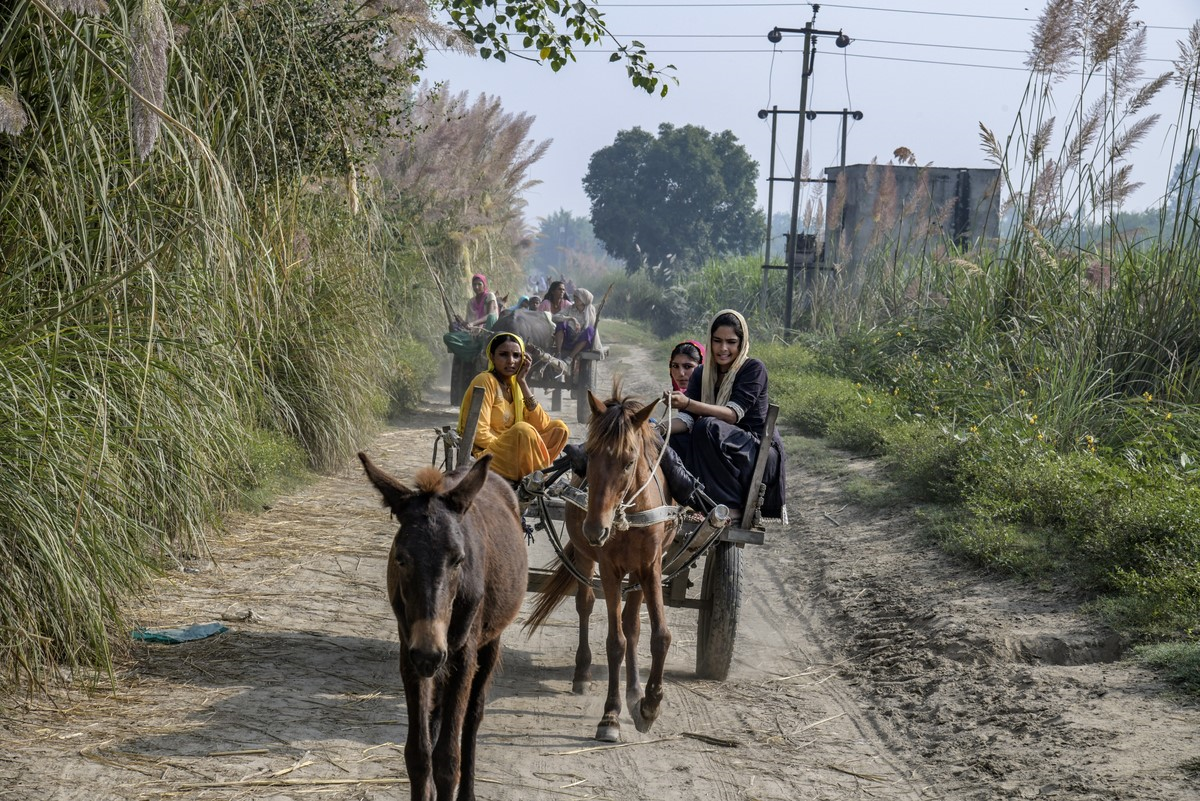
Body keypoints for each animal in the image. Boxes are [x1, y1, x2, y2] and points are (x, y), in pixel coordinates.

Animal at [358, 452, 527, 801]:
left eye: (459, 559)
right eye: (401, 558)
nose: (430, 652)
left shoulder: (462, 655)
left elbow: (448, 759)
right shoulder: (409, 653)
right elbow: (418, 754)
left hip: (489, 644)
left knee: (473, 718)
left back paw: (468, 792)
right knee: (437, 714)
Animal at [524, 385, 677, 742]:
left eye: (629, 461)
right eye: (590, 456)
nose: (595, 529)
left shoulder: (650, 566)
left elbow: (658, 635)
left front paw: (649, 703)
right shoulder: (608, 568)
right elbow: (614, 641)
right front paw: (610, 716)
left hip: (636, 575)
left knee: (633, 624)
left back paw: (635, 692)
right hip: (585, 559)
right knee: (586, 603)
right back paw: (582, 672)